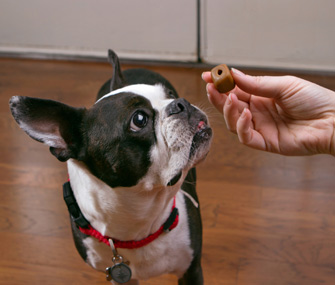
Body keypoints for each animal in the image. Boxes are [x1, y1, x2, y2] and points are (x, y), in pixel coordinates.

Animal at [9, 50, 213, 282]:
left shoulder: (191, 270)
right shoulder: (123, 278)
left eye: (169, 93)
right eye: (139, 119)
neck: (139, 220)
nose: (180, 103)